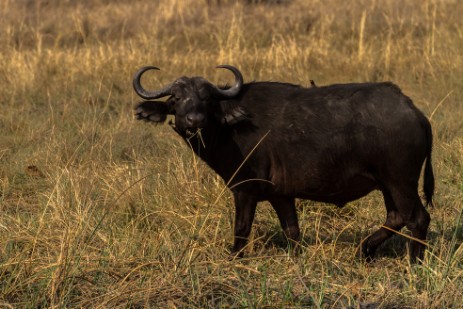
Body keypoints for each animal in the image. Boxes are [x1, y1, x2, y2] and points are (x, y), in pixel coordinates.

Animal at [133, 65, 436, 262]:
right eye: (176, 97)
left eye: (207, 98)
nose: (194, 120)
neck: (228, 127)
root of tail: (413, 111)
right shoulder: (282, 196)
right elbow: (292, 232)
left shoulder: (245, 189)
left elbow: (241, 229)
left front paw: (234, 258)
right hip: (386, 185)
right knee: (396, 217)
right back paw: (365, 250)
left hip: (400, 182)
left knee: (417, 219)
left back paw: (414, 261)